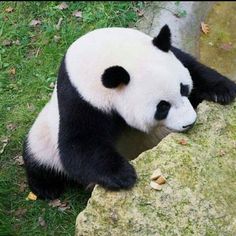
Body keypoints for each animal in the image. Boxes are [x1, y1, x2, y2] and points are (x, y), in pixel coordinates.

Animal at [22, 25, 236, 199]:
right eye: (162, 107)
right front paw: (122, 175)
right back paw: (46, 187)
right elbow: (78, 144)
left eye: (184, 89)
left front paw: (223, 90)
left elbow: (193, 66)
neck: (110, 53)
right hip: (43, 137)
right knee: (37, 159)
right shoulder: (80, 98)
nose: (189, 123)